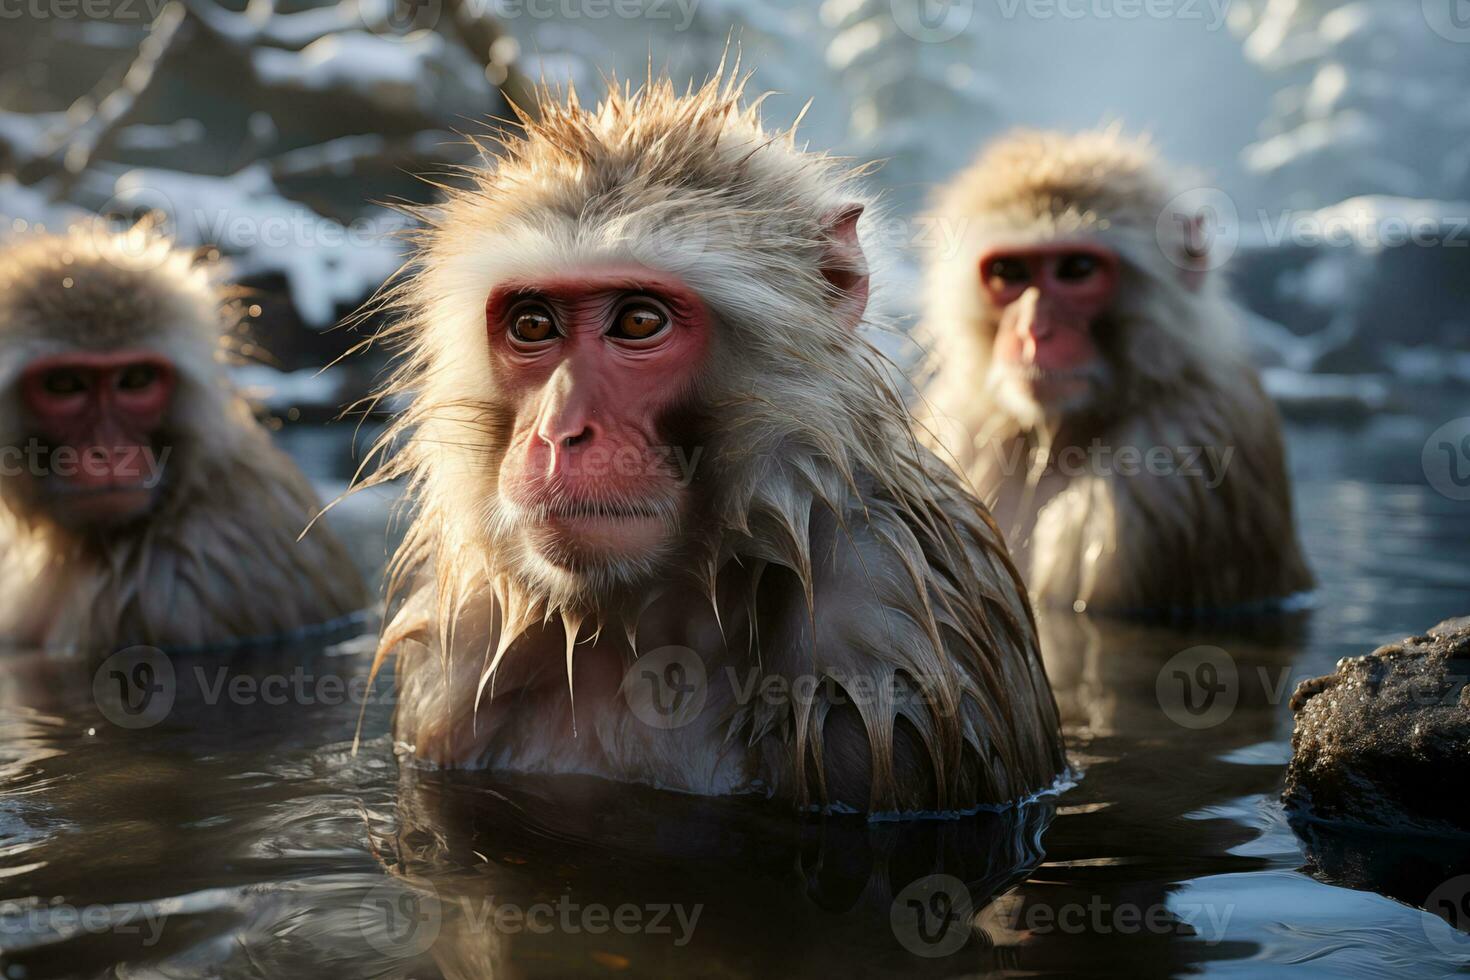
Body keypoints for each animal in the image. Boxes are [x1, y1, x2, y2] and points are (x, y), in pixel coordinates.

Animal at [923, 130, 1317, 620]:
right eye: (1008, 272)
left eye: (1077, 270)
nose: (1033, 332)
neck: (1063, 433)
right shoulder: (959, 422)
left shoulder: (1170, 467)